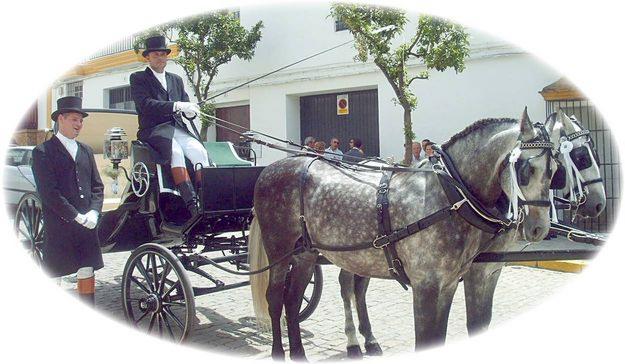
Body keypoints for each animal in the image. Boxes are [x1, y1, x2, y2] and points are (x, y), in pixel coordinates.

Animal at [250, 109, 556, 360]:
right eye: (527, 169)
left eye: (554, 170)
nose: (539, 228)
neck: (450, 195)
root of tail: (273, 169)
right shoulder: (427, 286)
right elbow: (427, 340)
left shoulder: (451, 283)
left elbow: (442, 336)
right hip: (280, 251)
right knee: (276, 299)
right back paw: (283, 352)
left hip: (307, 254)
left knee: (294, 300)